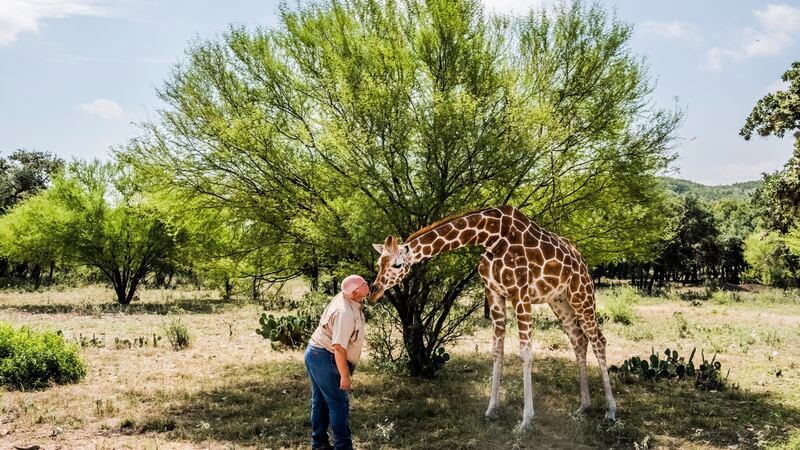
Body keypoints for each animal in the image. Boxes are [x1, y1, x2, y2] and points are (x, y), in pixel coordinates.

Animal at [368, 206, 620, 428]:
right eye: (378, 263)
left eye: (397, 264)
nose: (374, 291)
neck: (490, 236)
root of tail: (582, 260)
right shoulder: (494, 294)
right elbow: (497, 351)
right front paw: (491, 410)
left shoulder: (520, 294)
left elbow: (525, 353)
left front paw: (526, 420)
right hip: (559, 300)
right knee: (579, 340)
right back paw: (584, 406)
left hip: (581, 294)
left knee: (598, 340)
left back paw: (610, 410)